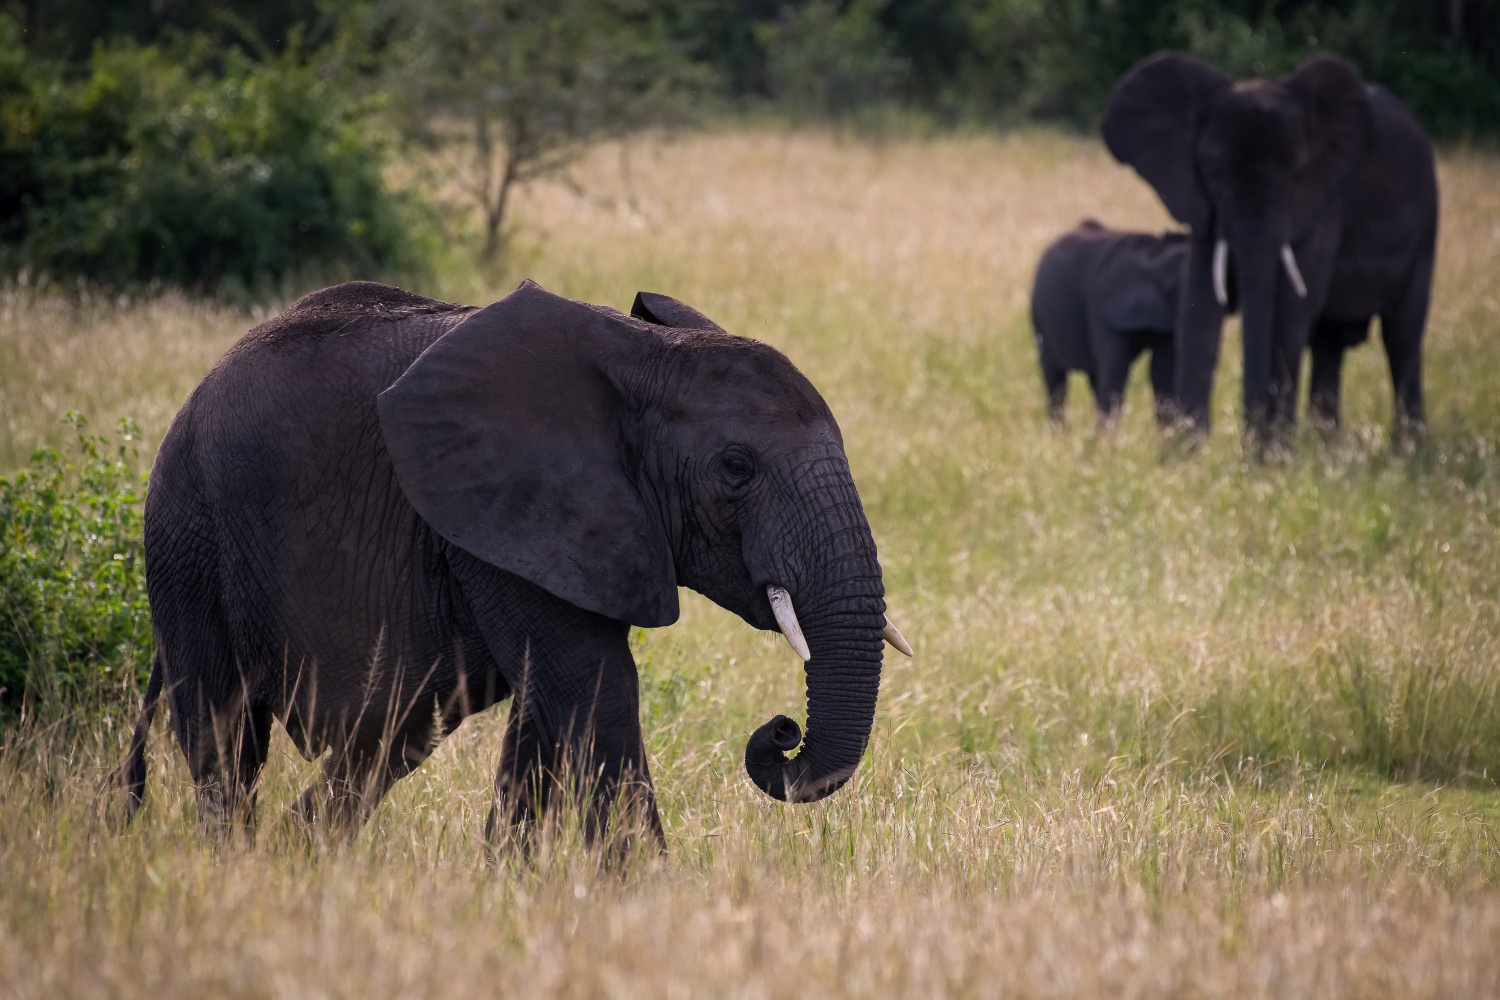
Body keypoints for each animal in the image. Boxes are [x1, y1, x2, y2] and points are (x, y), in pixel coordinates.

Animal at [117, 280, 906, 845]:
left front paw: (507, 886)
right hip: (188, 535)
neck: (645, 356)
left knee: (387, 740)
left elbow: (543, 709)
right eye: (736, 468)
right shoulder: (501, 507)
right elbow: (596, 692)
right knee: (226, 737)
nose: (781, 732)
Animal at [1026, 220, 1200, 428]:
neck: (1156, 254)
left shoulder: (1166, 322)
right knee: (1056, 381)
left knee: (1092, 378)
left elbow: (1162, 376)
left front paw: (1167, 434)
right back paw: (1059, 434)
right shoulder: (1102, 308)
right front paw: (1109, 438)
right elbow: (1115, 374)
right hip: (1040, 318)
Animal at [1104, 52, 1440, 440]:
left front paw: (1269, 453)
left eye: (1295, 175)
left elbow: (1289, 311)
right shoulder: (1202, 206)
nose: (1246, 430)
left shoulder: (1324, 204)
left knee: (1402, 334)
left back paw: (1408, 450)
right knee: (1329, 342)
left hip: (1427, 223)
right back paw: (1329, 449)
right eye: (1215, 173)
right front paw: (1186, 451)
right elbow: (1199, 307)